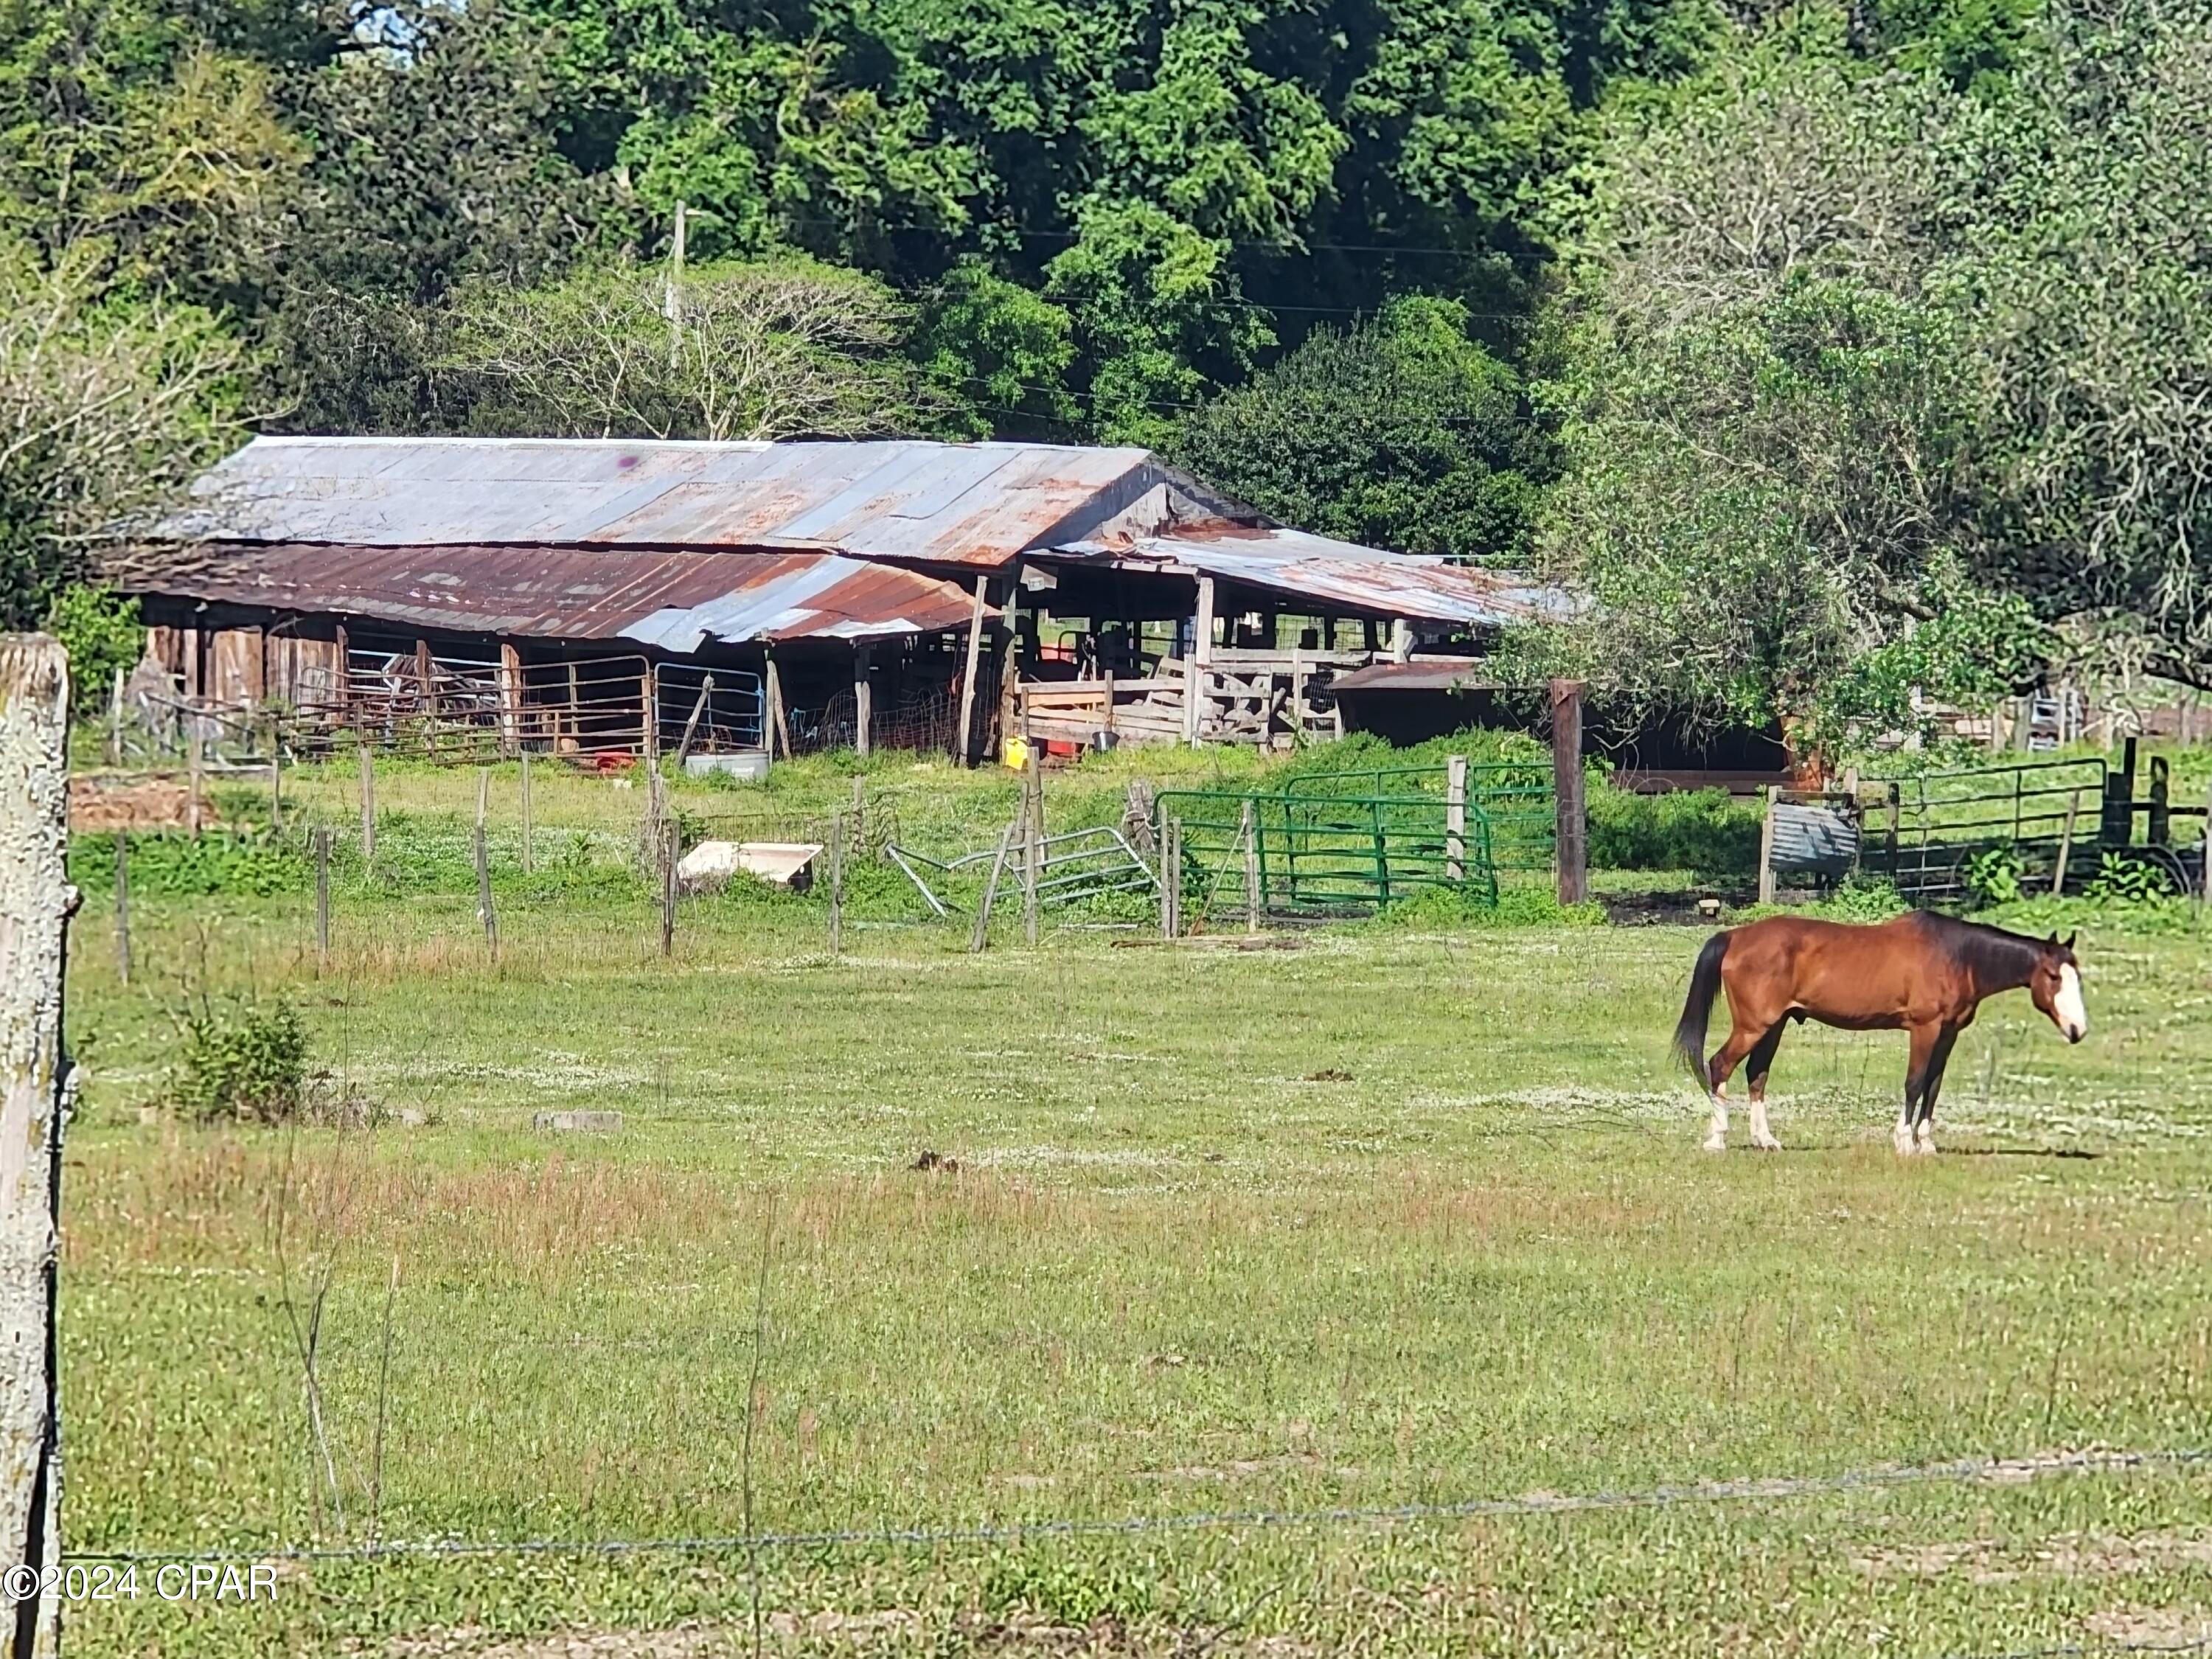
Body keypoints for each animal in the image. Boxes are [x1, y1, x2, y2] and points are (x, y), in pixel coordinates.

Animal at [1672, 911, 2088, 1159]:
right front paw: (1903, 1141)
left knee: (1756, 1075)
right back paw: (1717, 1138)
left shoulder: (1947, 1034)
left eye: (2077, 977)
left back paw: (1766, 1140)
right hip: (1753, 1026)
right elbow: (1914, 1083)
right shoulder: (1924, 1029)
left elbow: (1933, 1087)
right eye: (2054, 977)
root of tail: (1734, 935)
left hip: (1773, 1026)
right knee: (1719, 1065)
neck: (1958, 956)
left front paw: (1926, 1143)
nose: (2078, 1030)